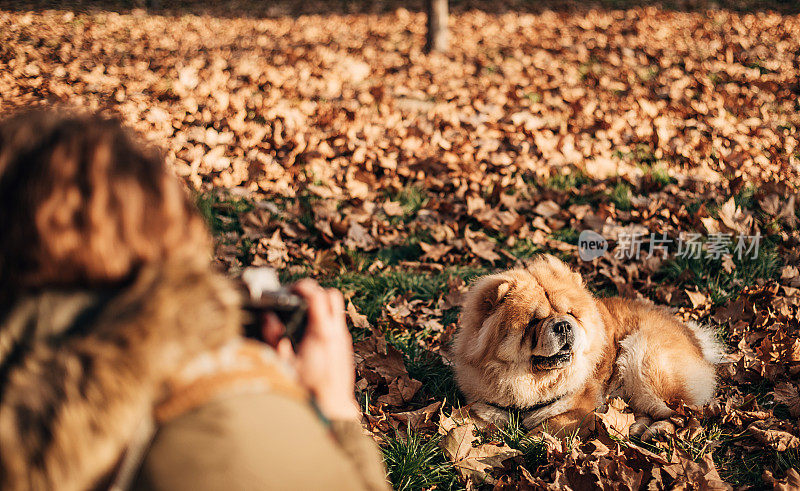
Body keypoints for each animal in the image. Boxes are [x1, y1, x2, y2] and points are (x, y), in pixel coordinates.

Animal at [450, 256, 724, 436]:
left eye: (570, 314)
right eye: (534, 322)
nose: (563, 325)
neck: (526, 384)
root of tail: (695, 337)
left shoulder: (581, 409)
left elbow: (545, 429)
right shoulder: (482, 402)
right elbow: (461, 416)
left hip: (645, 359)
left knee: (686, 414)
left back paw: (658, 431)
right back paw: (634, 426)